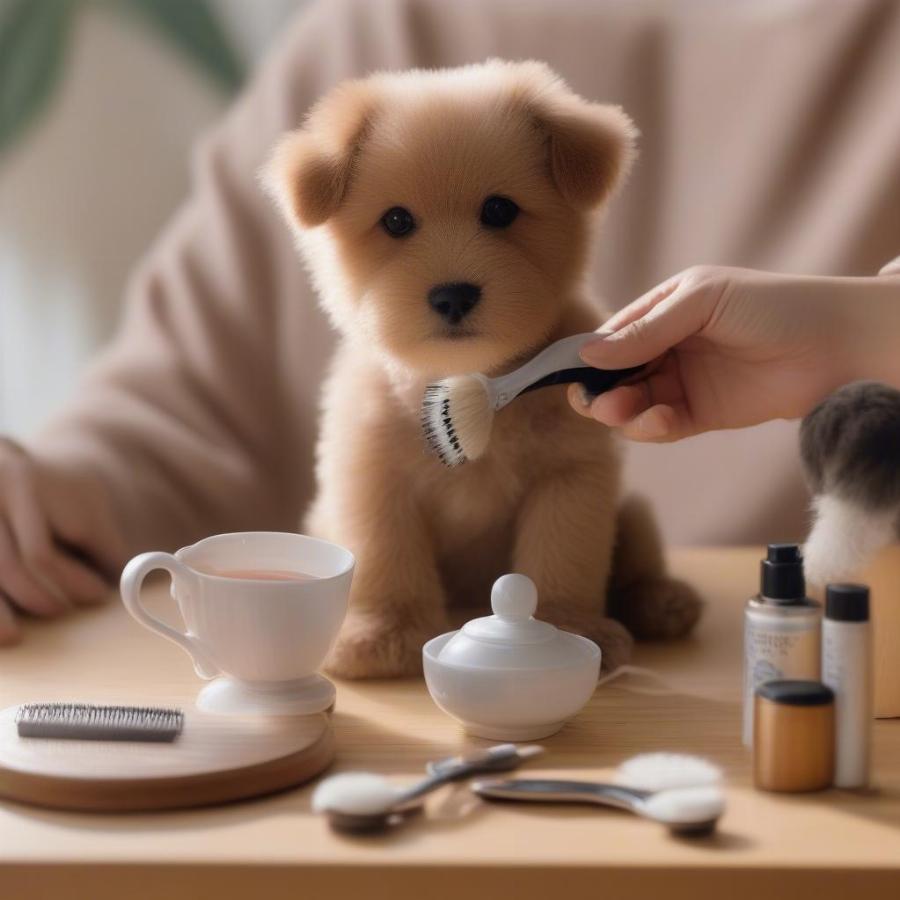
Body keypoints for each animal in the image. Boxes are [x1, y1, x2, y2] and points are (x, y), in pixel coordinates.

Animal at [264, 59, 700, 676]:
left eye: (499, 210)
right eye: (396, 221)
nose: (453, 295)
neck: (473, 378)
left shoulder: (569, 477)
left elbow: (561, 559)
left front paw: (569, 628)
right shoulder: (374, 478)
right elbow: (386, 558)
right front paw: (385, 633)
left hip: (632, 511)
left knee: (638, 559)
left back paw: (659, 600)